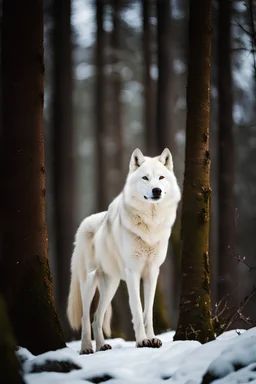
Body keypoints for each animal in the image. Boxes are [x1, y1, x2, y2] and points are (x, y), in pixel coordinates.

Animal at [67, 148, 181, 352]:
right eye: (145, 178)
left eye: (161, 177)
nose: (157, 190)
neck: (150, 225)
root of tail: (84, 223)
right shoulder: (133, 272)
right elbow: (136, 308)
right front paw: (142, 341)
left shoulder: (152, 272)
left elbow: (148, 311)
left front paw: (153, 339)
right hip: (88, 282)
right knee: (85, 317)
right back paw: (86, 348)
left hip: (110, 285)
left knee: (97, 318)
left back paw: (102, 346)